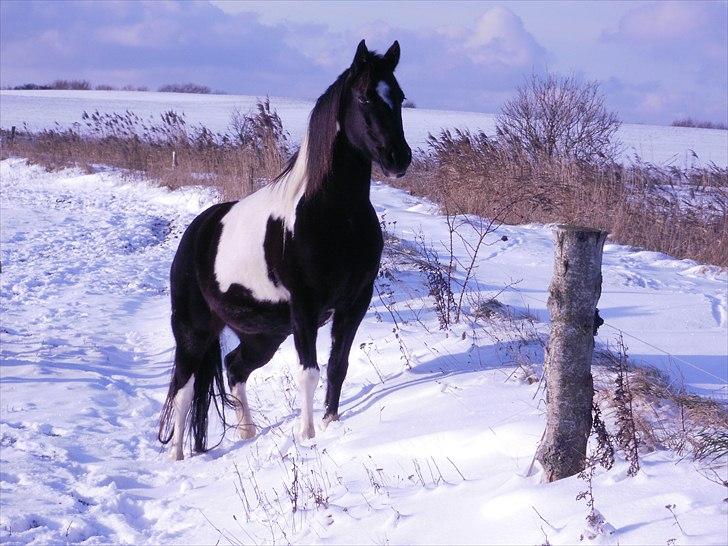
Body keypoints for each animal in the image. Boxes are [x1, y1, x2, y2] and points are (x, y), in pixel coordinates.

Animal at [157, 39, 412, 460]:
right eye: (363, 96)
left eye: (400, 97)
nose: (399, 158)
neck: (334, 216)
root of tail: (195, 234)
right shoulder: (305, 307)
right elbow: (308, 372)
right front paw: (308, 435)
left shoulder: (355, 302)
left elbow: (337, 365)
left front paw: (331, 423)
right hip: (193, 331)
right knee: (184, 389)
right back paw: (178, 456)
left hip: (263, 334)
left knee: (234, 367)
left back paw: (247, 433)